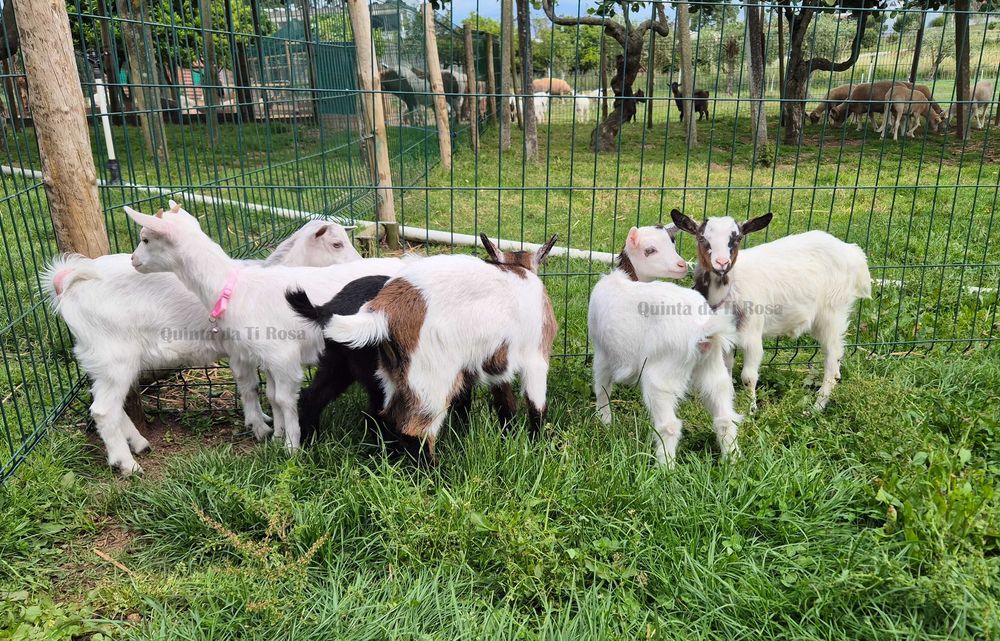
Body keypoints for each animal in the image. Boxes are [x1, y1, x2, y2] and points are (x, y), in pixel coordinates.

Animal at [43, 219, 360, 476]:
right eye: (336, 243)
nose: (357, 262)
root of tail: (67, 280)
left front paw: (265, 424)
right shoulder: (239, 351)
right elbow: (249, 388)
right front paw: (259, 427)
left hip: (100, 359)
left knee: (107, 403)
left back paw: (139, 443)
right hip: (114, 356)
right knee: (103, 410)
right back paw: (127, 464)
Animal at [124, 201, 405, 452]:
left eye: (145, 239)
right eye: (337, 244)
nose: (133, 260)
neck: (234, 287)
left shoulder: (283, 356)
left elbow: (282, 399)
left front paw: (291, 447)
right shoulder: (266, 358)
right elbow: (271, 396)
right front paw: (278, 437)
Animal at [321, 235, 559, 459]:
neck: (520, 269)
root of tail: (383, 310)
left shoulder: (498, 363)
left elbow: (505, 403)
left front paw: (508, 436)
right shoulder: (536, 358)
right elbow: (537, 405)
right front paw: (537, 445)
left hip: (393, 375)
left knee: (388, 418)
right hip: (432, 377)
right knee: (416, 432)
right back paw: (434, 473)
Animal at [589, 220, 741, 465]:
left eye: (672, 243)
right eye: (650, 250)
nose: (681, 265)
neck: (626, 278)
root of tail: (702, 327)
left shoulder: (603, 351)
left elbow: (602, 386)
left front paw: (604, 420)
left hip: (662, 373)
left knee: (669, 425)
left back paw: (664, 466)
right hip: (713, 367)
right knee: (725, 416)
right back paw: (732, 460)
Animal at [671, 211, 871, 412]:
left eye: (738, 238)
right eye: (701, 237)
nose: (722, 263)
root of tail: (853, 253)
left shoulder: (752, 333)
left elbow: (748, 377)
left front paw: (751, 410)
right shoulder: (724, 337)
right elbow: (726, 374)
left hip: (832, 312)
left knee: (832, 360)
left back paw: (816, 407)